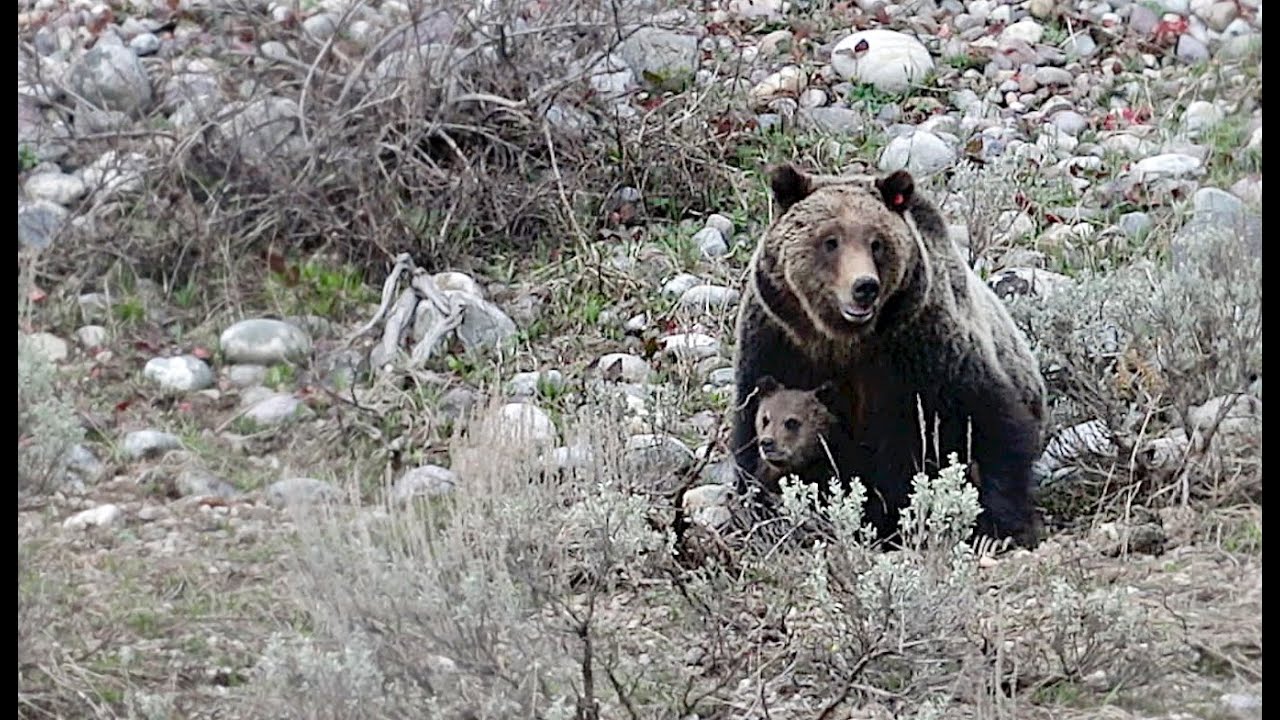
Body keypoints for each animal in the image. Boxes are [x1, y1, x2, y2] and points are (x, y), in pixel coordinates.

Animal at [730, 163, 1048, 548]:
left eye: (876, 242)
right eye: (830, 240)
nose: (864, 287)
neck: (844, 339)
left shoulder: (924, 349)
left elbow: (991, 423)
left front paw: (1002, 524)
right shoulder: (779, 342)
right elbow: (752, 431)